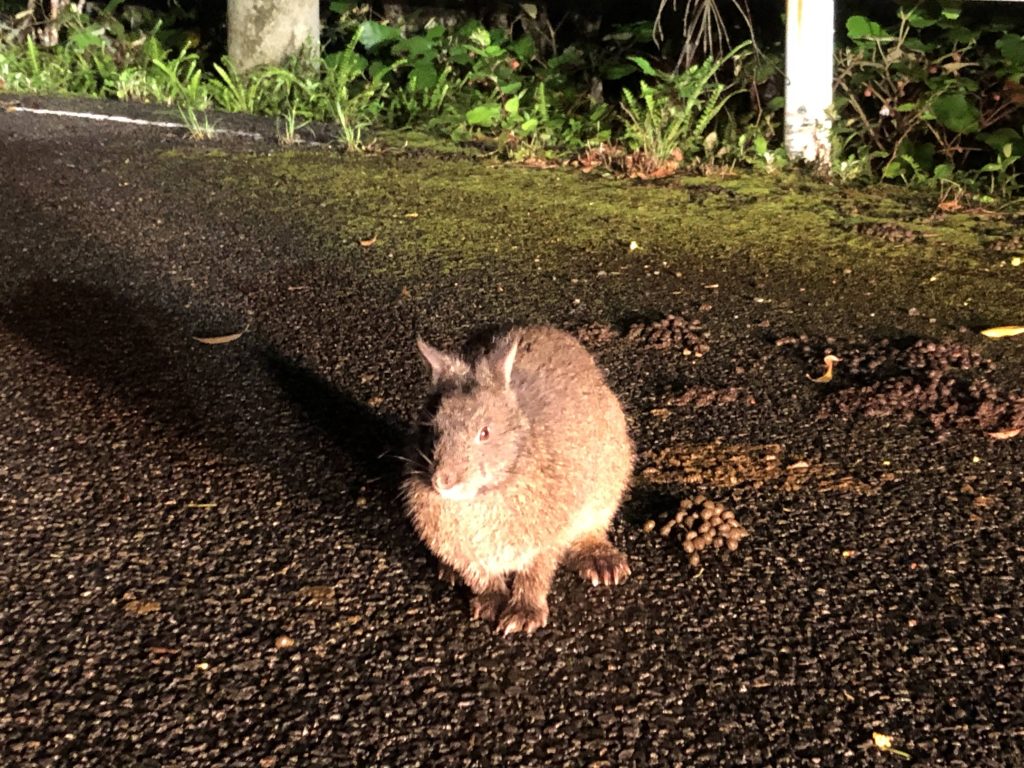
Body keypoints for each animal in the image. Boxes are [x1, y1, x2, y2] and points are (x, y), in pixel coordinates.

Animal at [401, 325, 630, 638]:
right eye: (432, 428)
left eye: (484, 432)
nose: (443, 481)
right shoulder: (463, 551)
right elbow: (480, 575)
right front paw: (491, 603)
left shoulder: (545, 540)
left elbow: (534, 575)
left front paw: (523, 614)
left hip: (606, 485)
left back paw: (601, 561)